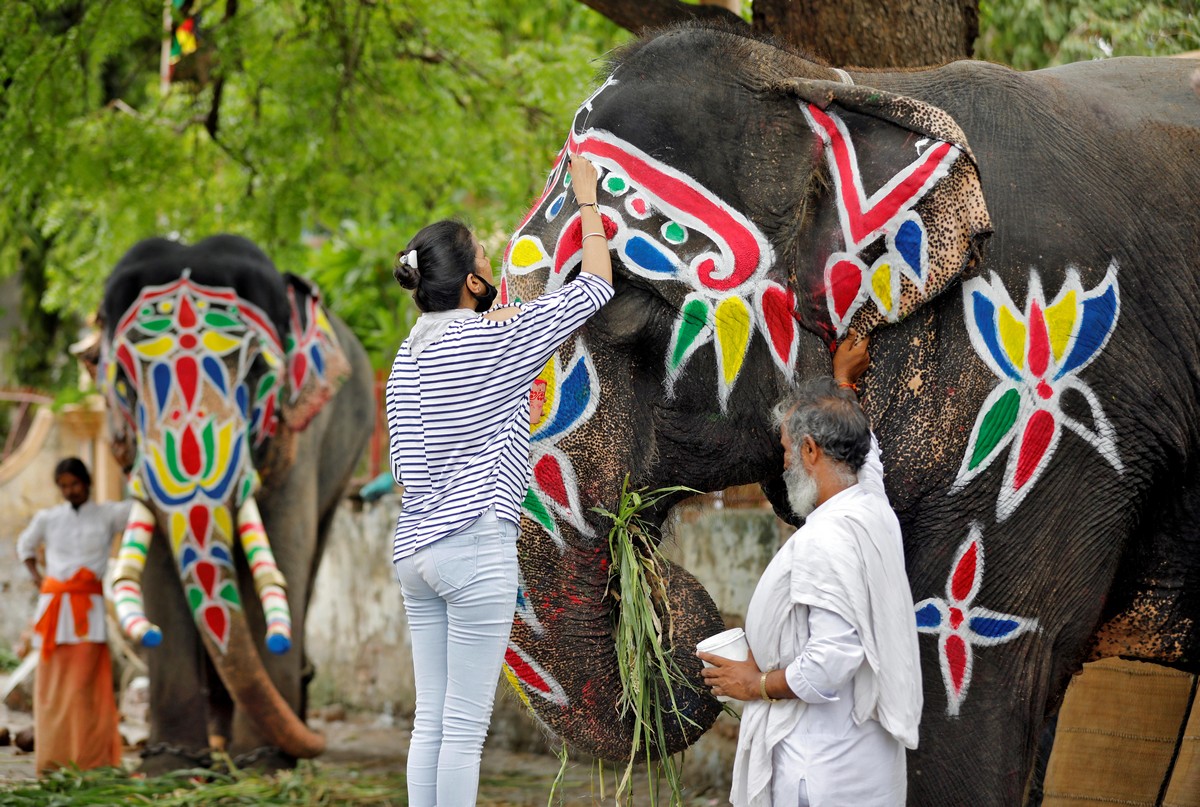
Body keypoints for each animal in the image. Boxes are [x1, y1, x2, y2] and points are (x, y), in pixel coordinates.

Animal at [93, 232, 372, 768]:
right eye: (122, 383)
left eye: (258, 370)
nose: (144, 635)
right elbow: (161, 567)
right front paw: (171, 766)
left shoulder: (295, 440)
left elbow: (282, 551)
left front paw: (264, 763)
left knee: (311, 559)